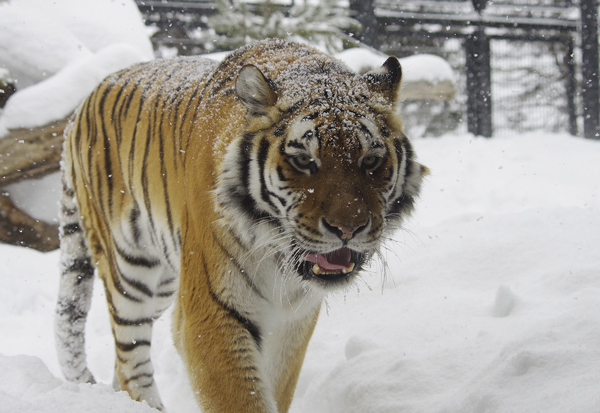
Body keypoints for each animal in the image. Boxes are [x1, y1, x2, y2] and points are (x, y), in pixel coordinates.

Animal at [52, 39, 426, 412]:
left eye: (371, 161)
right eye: (303, 160)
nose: (348, 228)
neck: (280, 261)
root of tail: (78, 109)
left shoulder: (293, 318)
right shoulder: (211, 308)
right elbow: (239, 397)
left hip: (165, 282)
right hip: (130, 271)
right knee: (131, 360)